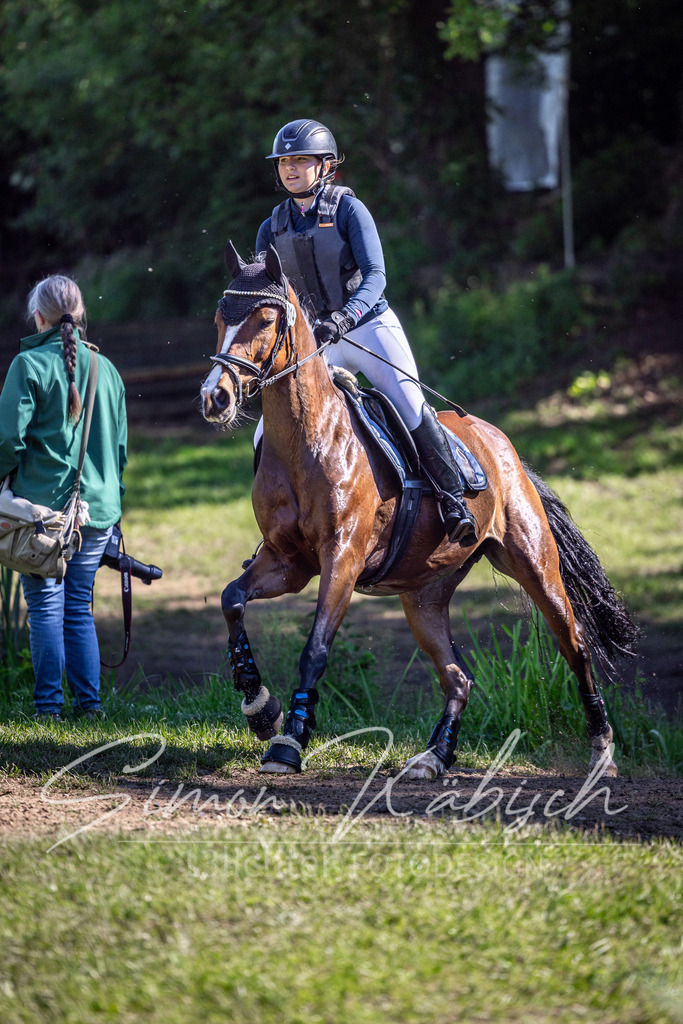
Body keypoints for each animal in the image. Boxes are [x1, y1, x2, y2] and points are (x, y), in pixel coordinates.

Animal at [200, 242, 638, 780]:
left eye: (264, 319)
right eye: (219, 318)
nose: (215, 397)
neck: (309, 437)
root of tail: (502, 446)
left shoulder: (342, 559)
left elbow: (316, 648)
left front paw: (290, 740)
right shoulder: (288, 562)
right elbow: (232, 600)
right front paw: (261, 709)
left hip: (537, 568)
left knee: (575, 648)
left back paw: (601, 751)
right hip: (424, 595)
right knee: (458, 678)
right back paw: (434, 756)